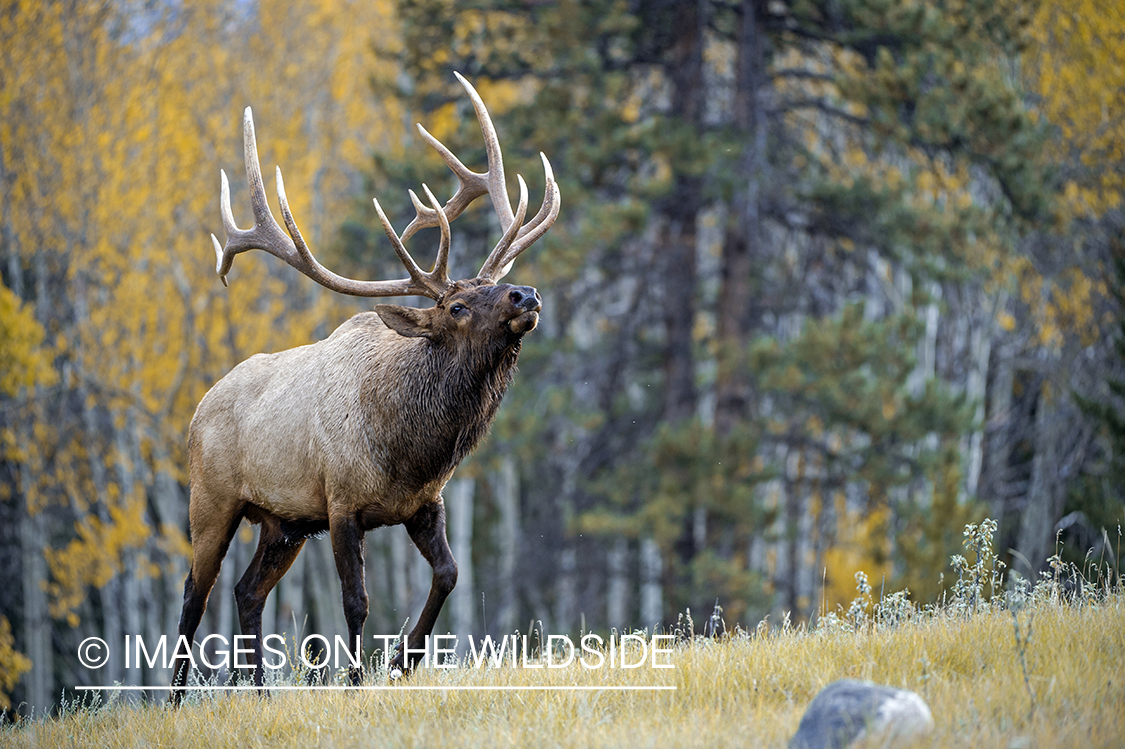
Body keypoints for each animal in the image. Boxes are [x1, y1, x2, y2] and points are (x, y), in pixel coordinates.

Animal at [170, 73, 559, 703]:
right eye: (455, 305)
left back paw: (260, 691)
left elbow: (449, 574)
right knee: (193, 594)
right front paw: (353, 680)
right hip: (212, 500)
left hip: (282, 522)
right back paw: (177, 700)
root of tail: (197, 411)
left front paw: (405, 660)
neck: (410, 448)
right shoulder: (342, 503)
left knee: (246, 591)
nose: (524, 294)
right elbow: (357, 601)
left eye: (492, 284)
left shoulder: (423, 502)